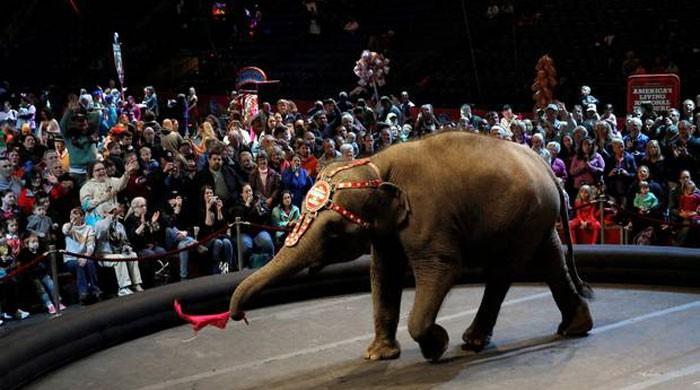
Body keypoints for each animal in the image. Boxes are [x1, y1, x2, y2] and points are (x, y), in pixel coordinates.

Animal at [228, 133, 592, 362]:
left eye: (332, 230)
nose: (239, 316)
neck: (376, 162)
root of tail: (546, 168)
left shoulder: (426, 216)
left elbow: (442, 267)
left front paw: (437, 346)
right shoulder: (387, 230)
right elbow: (383, 275)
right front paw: (377, 355)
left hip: (525, 218)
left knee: (505, 271)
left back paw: (472, 341)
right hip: (535, 218)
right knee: (550, 260)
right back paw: (575, 328)